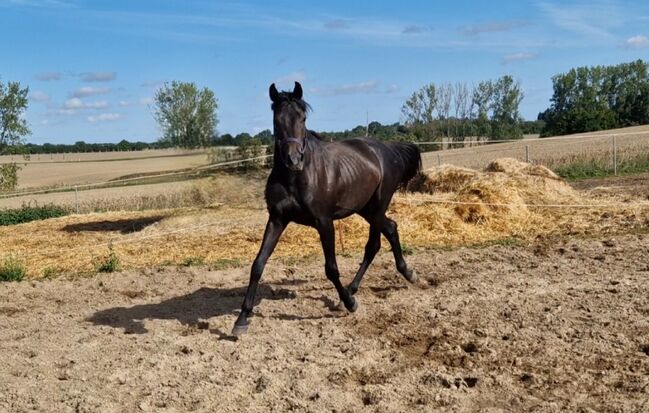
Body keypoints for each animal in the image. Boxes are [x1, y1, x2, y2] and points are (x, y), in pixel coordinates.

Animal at [233, 80, 420, 334]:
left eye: (303, 118)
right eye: (276, 120)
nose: (294, 160)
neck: (297, 178)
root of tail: (387, 150)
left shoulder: (324, 222)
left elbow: (331, 268)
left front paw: (350, 304)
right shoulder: (277, 219)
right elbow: (258, 264)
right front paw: (242, 318)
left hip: (376, 208)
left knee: (380, 239)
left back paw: (373, 286)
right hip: (366, 209)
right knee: (386, 233)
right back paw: (375, 282)